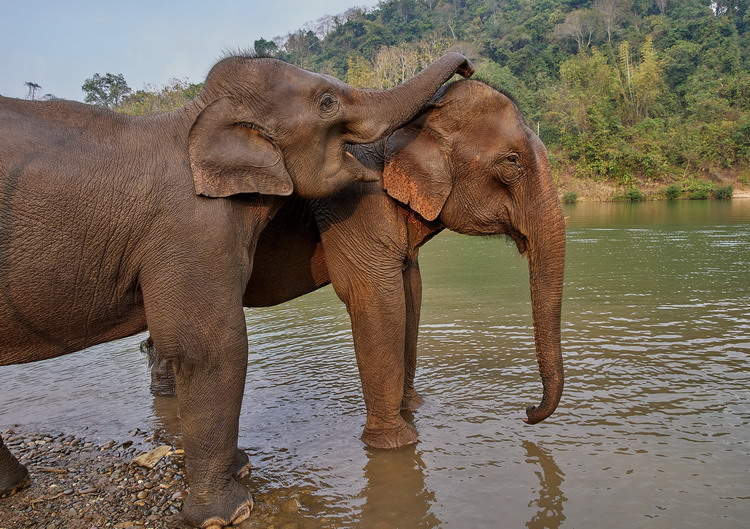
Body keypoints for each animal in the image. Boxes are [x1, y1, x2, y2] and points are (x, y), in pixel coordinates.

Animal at [0, 50, 472, 528]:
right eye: (327, 103)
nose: (468, 67)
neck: (196, 118)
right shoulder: (193, 228)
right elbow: (209, 347)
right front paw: (227, 511)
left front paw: (240, 469)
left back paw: (15, 484)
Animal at [142, 78, 564, 450]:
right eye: (512, 162)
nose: (527, 410)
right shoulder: (353, 199)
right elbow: (375, 296)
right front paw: (396, 443)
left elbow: (411, 289)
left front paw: (414, 408)